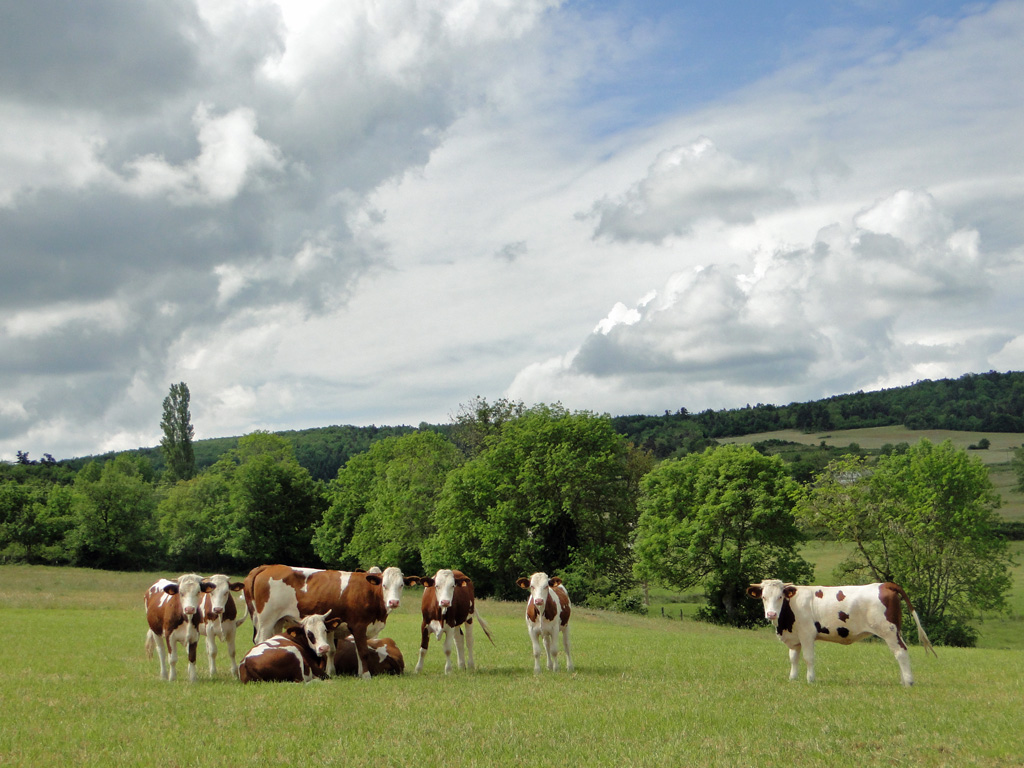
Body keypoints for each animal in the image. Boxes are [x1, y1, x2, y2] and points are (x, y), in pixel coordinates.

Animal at [241, 565, 417, 679]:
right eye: (384, 585)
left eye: (401, 585)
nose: (393, 602)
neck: (369, 593)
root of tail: (266, 567)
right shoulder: (359, 626)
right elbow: (363, 652)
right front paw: (366, 675)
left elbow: (340, 651)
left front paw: (346, 672)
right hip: (266, 621)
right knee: (261, 639)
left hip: (278, 621)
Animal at [745, 581, 937, 688]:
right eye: (763, 597)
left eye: (780, 597)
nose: (771, 614)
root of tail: (884, 584)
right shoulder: (795, 637)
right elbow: (793, 658)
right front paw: (792, 679)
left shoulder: (807, 634)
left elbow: (808, 658)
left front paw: (810, 680)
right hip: (895, 631)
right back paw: (904, 680)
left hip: (888, 631)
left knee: (901, 652)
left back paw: (909, 683)